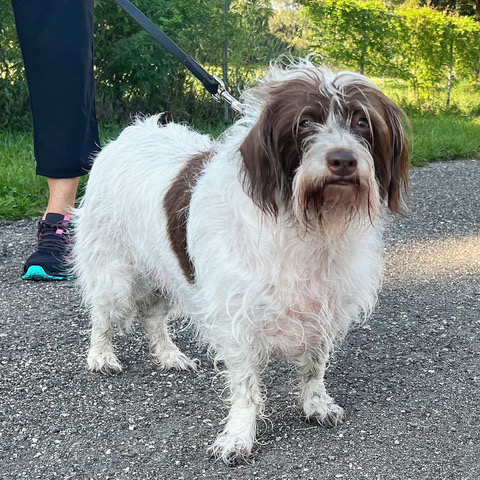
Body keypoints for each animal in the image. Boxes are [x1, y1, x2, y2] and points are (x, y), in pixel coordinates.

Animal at [73, 57, 410, 464]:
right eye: (304, 123)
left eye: (362, 123)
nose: (343, 160)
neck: (306, 223)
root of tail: (126, 136)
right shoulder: (237, 319)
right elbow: (246, 386)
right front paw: (239, 435)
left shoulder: (323, 308)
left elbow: (314, 365)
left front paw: (315, 403)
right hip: (115, 272)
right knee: (102, 315)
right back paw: (101, 356)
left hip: (168, 272)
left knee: (152, 317)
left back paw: (168, 355)